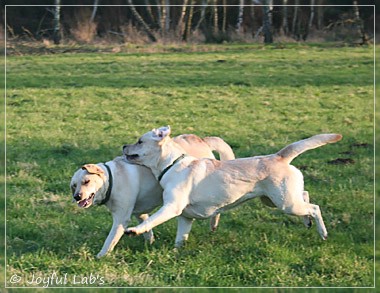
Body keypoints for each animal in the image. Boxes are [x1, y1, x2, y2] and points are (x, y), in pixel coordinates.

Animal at [70, 133, 233, 256]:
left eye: (86, 181)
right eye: (73, 186)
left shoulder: (121, 219)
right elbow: (147, 227)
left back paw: (213, 223)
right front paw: (149, 241)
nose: (77, 197)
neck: (112, 179)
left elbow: (110, 240)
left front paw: (100, 256)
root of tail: (202, 140)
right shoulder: (139, 213)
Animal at [124, 124, 342, 245]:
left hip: (286, 203)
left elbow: (150, 220)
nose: (124, 145)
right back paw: (307, 222)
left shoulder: (171, 208)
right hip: (275, 200)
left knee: (314, 207)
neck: (172, 164)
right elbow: (181, 238)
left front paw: (134, 230)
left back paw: (323, 233)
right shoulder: (185, 217)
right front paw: (178, 252)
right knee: (305, 195)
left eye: (139, 141)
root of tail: (279, 156)